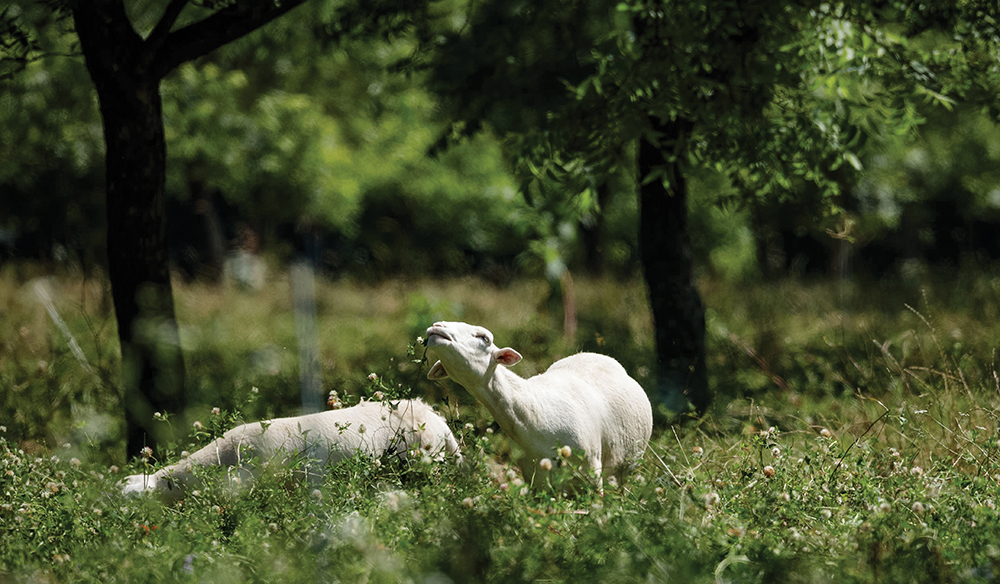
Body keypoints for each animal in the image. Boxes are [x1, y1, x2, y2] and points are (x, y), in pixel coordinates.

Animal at [424, 321, 652, 490]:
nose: (436, 327)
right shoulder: (535, 480)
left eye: (484, 338)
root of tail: (594, 354)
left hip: (626, 467)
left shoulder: (592, 472)